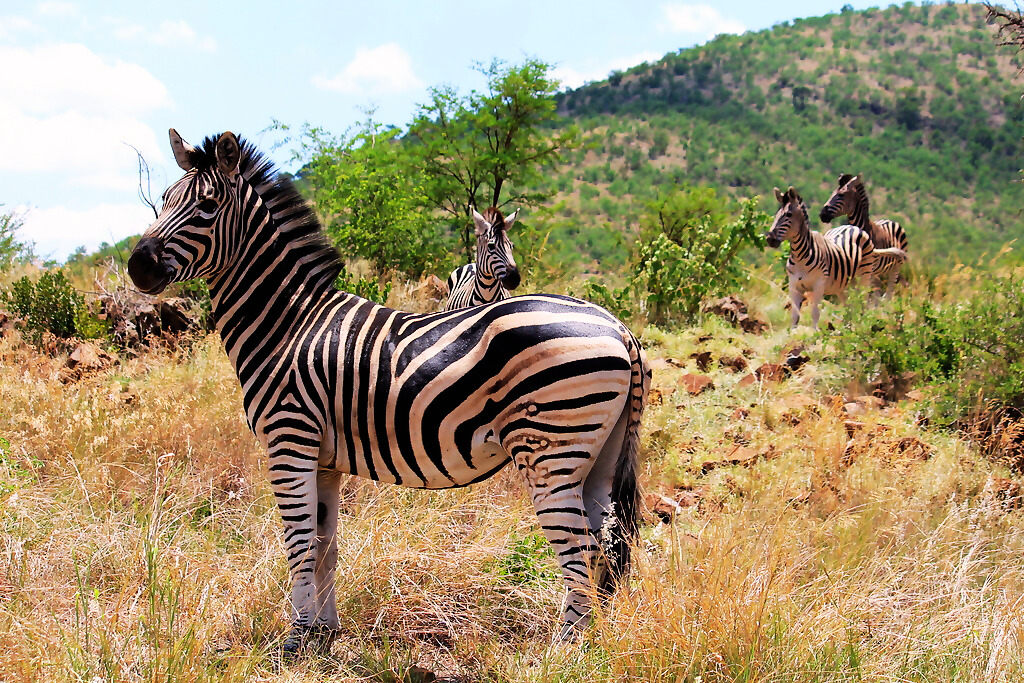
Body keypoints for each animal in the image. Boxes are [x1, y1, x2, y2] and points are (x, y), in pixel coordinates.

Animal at [128, 131, 651, 659]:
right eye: (165, 199)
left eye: (207, 206)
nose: (137, 265)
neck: (288, 324)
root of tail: (619, 328)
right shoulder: (323, 458)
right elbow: (325, 545)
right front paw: (323, 632)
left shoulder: (289, 439)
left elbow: (298, 543)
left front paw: (295, 639)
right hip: (598, 455)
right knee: (606, 543)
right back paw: (594, 643)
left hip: (549, 450)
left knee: (580, 549)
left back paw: (564, 651)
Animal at [770, 187, 905, 331]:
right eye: (776, 214)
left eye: (788, 215)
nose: (769, 238)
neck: (800, 255)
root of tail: (854, 227)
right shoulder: (794, 285)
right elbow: (795, 315)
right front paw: (793, 332)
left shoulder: (819, 285)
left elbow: (815, 313)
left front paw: (814, 333)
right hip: (843, 286)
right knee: (849, 307)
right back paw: (847, 330)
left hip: (865, 277)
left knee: (863, 303)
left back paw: (860, 328)